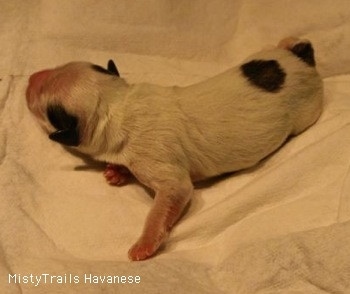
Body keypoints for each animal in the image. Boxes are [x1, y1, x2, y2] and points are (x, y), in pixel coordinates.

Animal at [26, 36, 324, 260]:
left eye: (43, 107)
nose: (29, 78)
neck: (118, 104)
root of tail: (303, 62)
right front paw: (118, 172)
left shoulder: (161, 167)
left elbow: (168, 199)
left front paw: (144, 245)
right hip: (264, 55)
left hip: (307, 113)